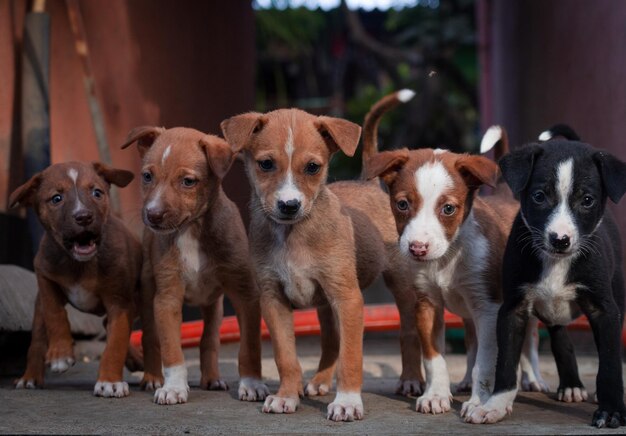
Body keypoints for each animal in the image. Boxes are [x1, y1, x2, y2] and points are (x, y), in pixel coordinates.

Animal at [9, 162, 140, 396]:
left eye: (97, 193)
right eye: (56, 198)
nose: (84, 216)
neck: (80, 265)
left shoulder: (120, 303)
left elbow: (116, 343)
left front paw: (109, 381)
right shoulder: (44, 278)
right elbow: (55, 313)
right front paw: (60, 354)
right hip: (38, 309)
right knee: (37, 341)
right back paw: (30, 377)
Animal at [120, 126, 266, 406]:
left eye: (188, 181)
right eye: (147, 176)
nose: (152, 215)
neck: (192, 229)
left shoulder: (245, 294)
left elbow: (249, 346)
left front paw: (252, 384)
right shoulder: (167, 298)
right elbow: (171, 349)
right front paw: (174, 388)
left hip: (214, 305)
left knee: (209, 339)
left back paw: (212, 378)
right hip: (148, 293)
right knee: (150, 338)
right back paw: (152, 377)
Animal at [219, 107, 414, 420]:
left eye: (312, 167)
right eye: (266, 164)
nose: (289, 205)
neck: (293, 235)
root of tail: (368, 184)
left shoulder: (348, 299)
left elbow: (351, 357)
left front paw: (347, 402)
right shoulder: (273, 300)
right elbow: (286, 357)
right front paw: (286, 396)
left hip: (401, 286)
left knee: (407, 334)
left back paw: (410, 380)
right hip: (324, 304)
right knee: (331, 341)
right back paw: (320, 381)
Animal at [364, 89, 540, 416]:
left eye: (448, 209)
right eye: (402, 204)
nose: (418, 248)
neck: (448, 257)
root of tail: (504, 196)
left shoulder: (488, 308)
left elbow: (487, 361)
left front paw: (482, 402)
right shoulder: (427, 304)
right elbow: (435, 359)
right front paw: (436, 395)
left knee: (528, 341)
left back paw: (534, 379)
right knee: (471, 342)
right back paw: (466, 381)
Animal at [466, 130, 624, 430]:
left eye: (587, 200)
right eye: (539, 196)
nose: (560, 239)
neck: (556, 261)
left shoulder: (606, 310)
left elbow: (610, 362)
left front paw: (611, 410)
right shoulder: (513, 309)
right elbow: (506, 363)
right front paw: (495, 405)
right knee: (560, 337)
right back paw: (571, 385)